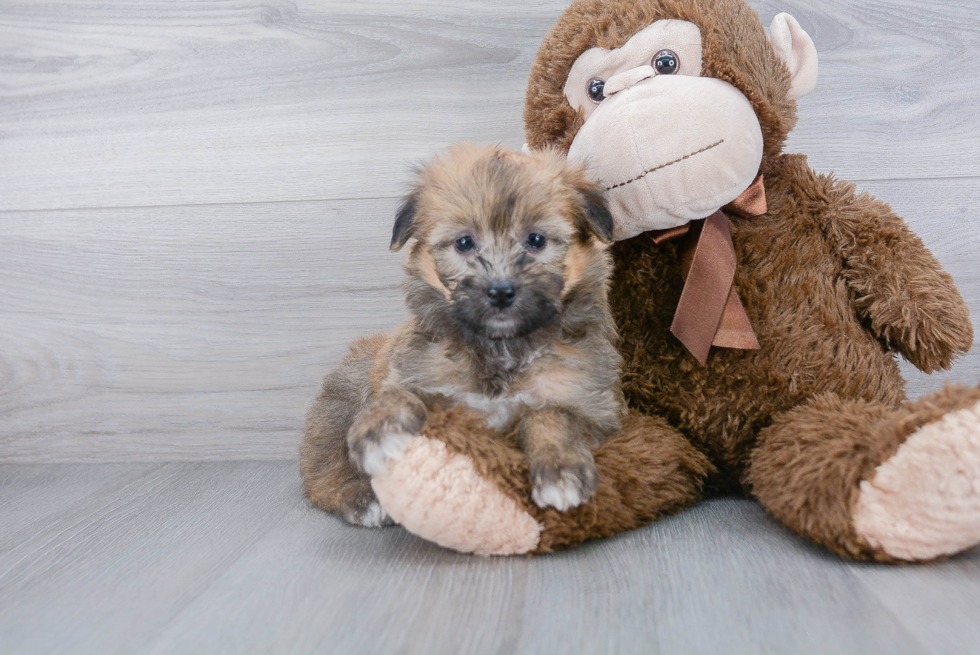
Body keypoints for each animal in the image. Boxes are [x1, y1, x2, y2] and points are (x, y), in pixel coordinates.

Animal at [298, 144, 624, 528]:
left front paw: (562, 472)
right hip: (344, 398)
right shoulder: (421, 376)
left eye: (536, 241)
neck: (500, 347)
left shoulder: (591, 405)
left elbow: (552, 417)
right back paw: (359, 498)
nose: (500, 292)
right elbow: (399, 395)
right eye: (465, 242)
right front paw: (380, 432)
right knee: (323, 467)